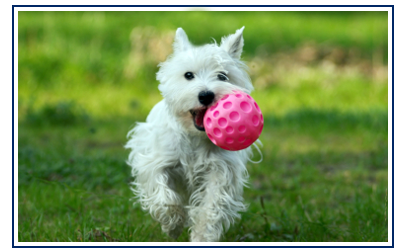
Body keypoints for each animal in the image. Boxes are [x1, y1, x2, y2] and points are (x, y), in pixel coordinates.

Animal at [128, 27, 258, 242]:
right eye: (188, 75)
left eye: (222, 76)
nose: (206, 95)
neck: (194, 137)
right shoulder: (156, 161)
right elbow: (163, 195)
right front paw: (173, 224)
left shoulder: (220, 170)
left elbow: (211, 206)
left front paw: (202, 236)